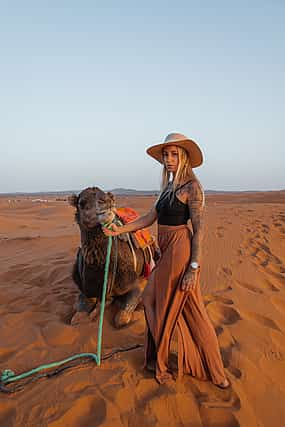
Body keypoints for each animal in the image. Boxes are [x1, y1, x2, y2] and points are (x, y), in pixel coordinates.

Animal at [69, 186, 158, 328]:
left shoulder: (136, 283)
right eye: (82, 203)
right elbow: (76, 317)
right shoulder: (86, 288)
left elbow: (121, 319)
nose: (107, 202)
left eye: (106, 196)